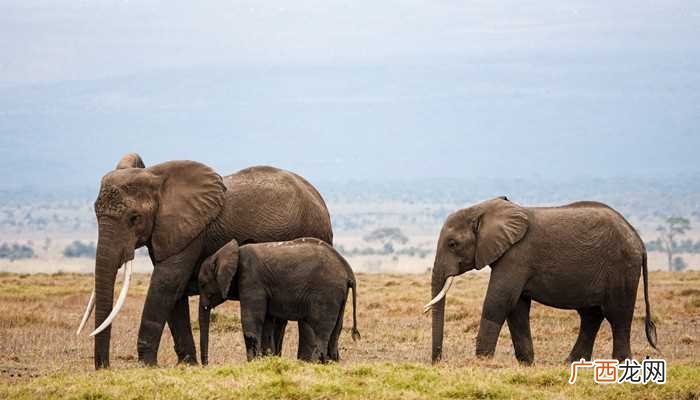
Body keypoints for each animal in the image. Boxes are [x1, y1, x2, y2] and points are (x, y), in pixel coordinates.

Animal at [76, 153, 333, 369]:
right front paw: (187, 365)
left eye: (134, 218)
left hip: (313, 231)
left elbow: (166, 284)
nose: (104, 368)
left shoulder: (191, 233)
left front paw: (147, 366)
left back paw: (305, 362)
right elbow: (174, 293)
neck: (156, 179)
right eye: (95, 213)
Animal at [197, 238, 360, 364]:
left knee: (321, 331)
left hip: (326, 293)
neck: (231, 253)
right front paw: (267, 360)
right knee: (335, 332)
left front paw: (252, 363)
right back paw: (330, 364)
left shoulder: (251, 280)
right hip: (339, 296)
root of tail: (348, 270)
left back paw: (315, 363)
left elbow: (251, 319)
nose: (206, 364)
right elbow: (267, 322)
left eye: (202, 284)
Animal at [425, 197, 658, 364]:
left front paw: (482, 361)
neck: (484, 209)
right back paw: (571, 363)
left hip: (622, 267)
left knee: (618, 315)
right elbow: (516, 308)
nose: (437, 361)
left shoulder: (517, 256)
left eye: (452, 244)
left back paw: (621, 364)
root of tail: (638, 239)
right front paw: (526, 363)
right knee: (591, 316)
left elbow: (499, 301)